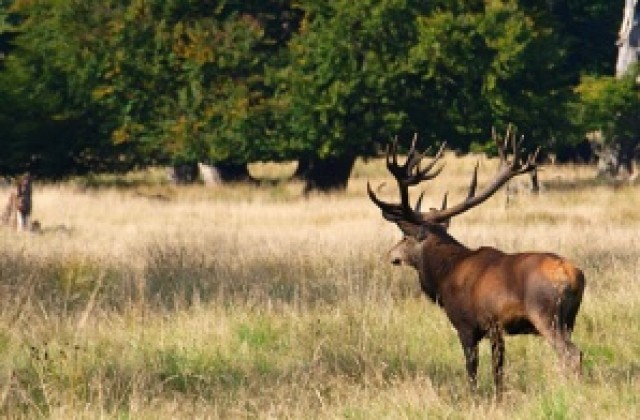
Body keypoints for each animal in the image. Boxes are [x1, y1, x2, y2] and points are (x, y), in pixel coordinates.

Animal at [370, 130, 584, 390]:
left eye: (404, 236)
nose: (391, 255)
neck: (443, 276)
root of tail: (573, 276)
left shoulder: (466, 325)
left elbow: (471, 371)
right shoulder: (496, 329)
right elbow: (498, 371)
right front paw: (498, 395)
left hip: (545, 314)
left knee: (571, 354)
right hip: (570, 319)